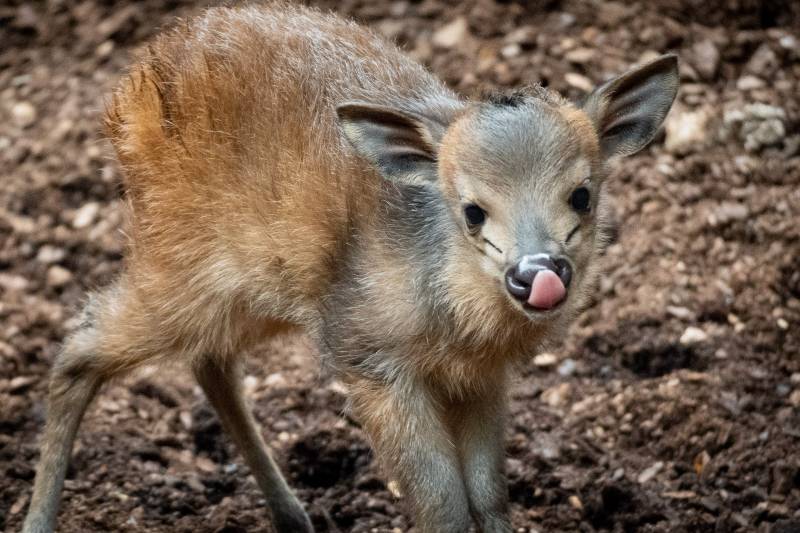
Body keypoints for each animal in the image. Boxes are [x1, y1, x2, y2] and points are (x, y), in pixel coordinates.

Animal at [21, 2, 680, 528]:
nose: (537, 274)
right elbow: (442, 505)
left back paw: (293, 515)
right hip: (178, 262)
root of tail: (123, 97)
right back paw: (38, 520)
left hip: (256, 288)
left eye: (582, 195)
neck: (453, 317)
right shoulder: (368, 356)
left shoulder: (483, 379)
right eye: (472, 211)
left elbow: (489, 497)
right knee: (81, 345)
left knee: (209, 361)